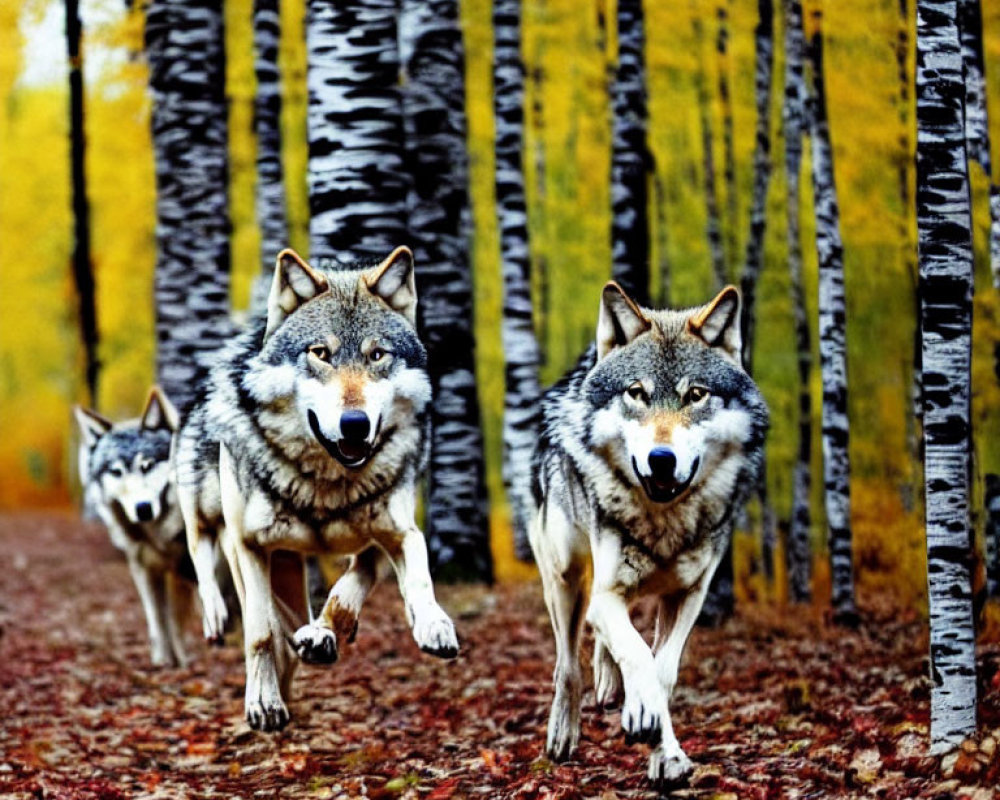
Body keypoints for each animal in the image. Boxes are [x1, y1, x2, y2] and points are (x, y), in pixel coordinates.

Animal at [74, 388, 195, 668]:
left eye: (147, 465)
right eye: (116, 471)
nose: (143, 508)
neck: (157, 536)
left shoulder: (184, 569)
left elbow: (175, 618)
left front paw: (183, 662)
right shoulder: (144, 568)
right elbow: (157, 620)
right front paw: (163, 662)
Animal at [177, 245, 460, 732]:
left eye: (377, 355)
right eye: (321, 353)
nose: (355, 423)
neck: (326, 486)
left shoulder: (395, 533)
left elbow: (373, 584)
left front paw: (430, 624)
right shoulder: (249, 545)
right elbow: (259, 632)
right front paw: (263, 702)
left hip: (289, 562)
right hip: (210, 516)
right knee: (208, 560)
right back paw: (219, 621)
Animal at [528, 282, 768, 788]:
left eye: (695, 395)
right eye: (636, 393)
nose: (661, 459)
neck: (663, 521)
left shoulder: (689, 595)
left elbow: (662, 671)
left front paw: (666, 755)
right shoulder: (605, 592)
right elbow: (636, 654)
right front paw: (641, 717)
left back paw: (609, 683)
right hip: (566, 580)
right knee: (567, 664)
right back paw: (563, 733)